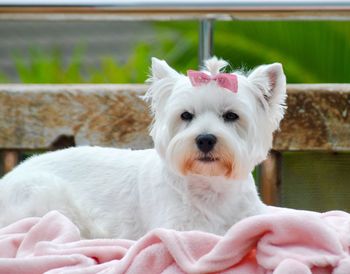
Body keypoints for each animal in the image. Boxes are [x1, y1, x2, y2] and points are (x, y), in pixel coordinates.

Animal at [0, 56, 286, 239]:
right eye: (185, 115)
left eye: (231, 116)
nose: (205, 139)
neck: (212, 187)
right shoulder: (178, 228)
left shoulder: (252, 217)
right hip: (45, 195)